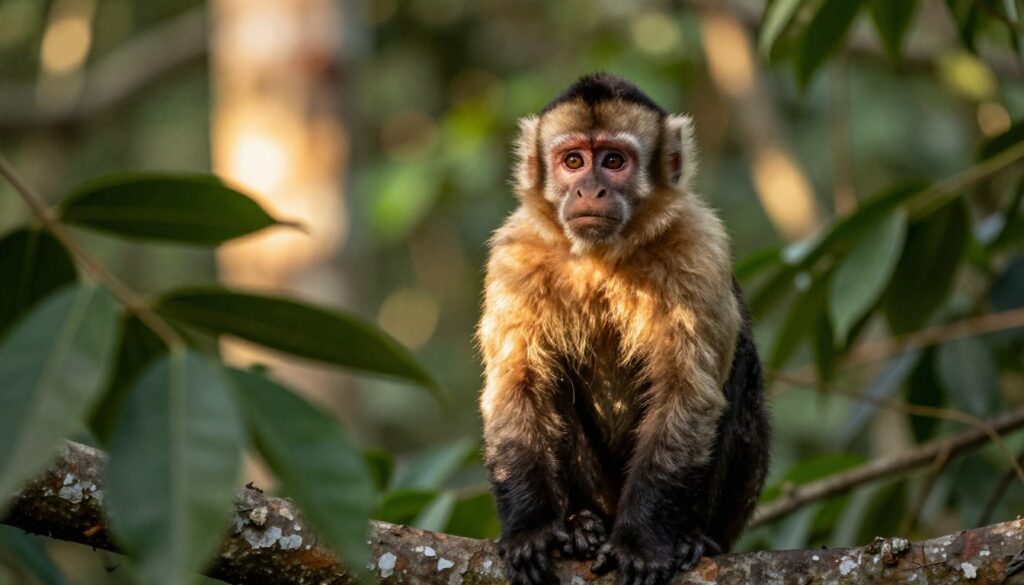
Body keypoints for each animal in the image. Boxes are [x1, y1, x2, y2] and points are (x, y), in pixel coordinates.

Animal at [477, 73, 770, 585]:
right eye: (573, 161)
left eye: (614, 161)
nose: (589, 190)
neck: (602, 254)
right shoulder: (515, 252)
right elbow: (517, 387)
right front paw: (531, 529)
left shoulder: (699, 244)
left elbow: (686, 393)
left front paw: (640, 543)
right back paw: (580, 523)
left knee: (741, 370)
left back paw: (693, 535)